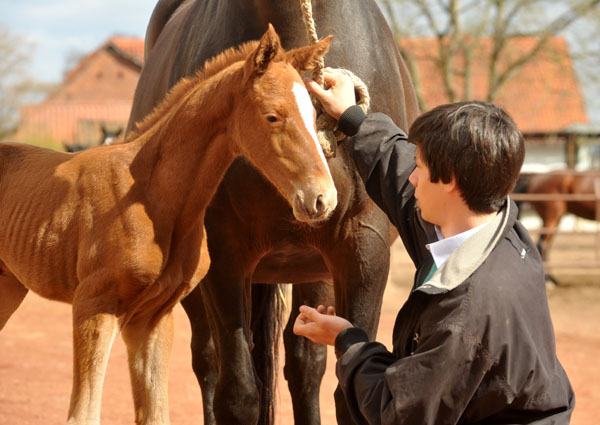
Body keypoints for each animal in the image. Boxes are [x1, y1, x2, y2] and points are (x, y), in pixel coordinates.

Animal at [0, 24, 336, 422]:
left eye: (315, 117)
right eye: (272, 116)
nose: (323, 198)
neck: (150, 195)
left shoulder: (152, 317)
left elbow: (156, 412)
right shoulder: (93, 305)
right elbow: (84, 414)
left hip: (8, 286)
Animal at [126, 1, 418, 422]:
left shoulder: (363, 244)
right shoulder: (224, 251)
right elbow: (238, 394)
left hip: (312, 267)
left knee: (305, 364)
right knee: (208, 360)